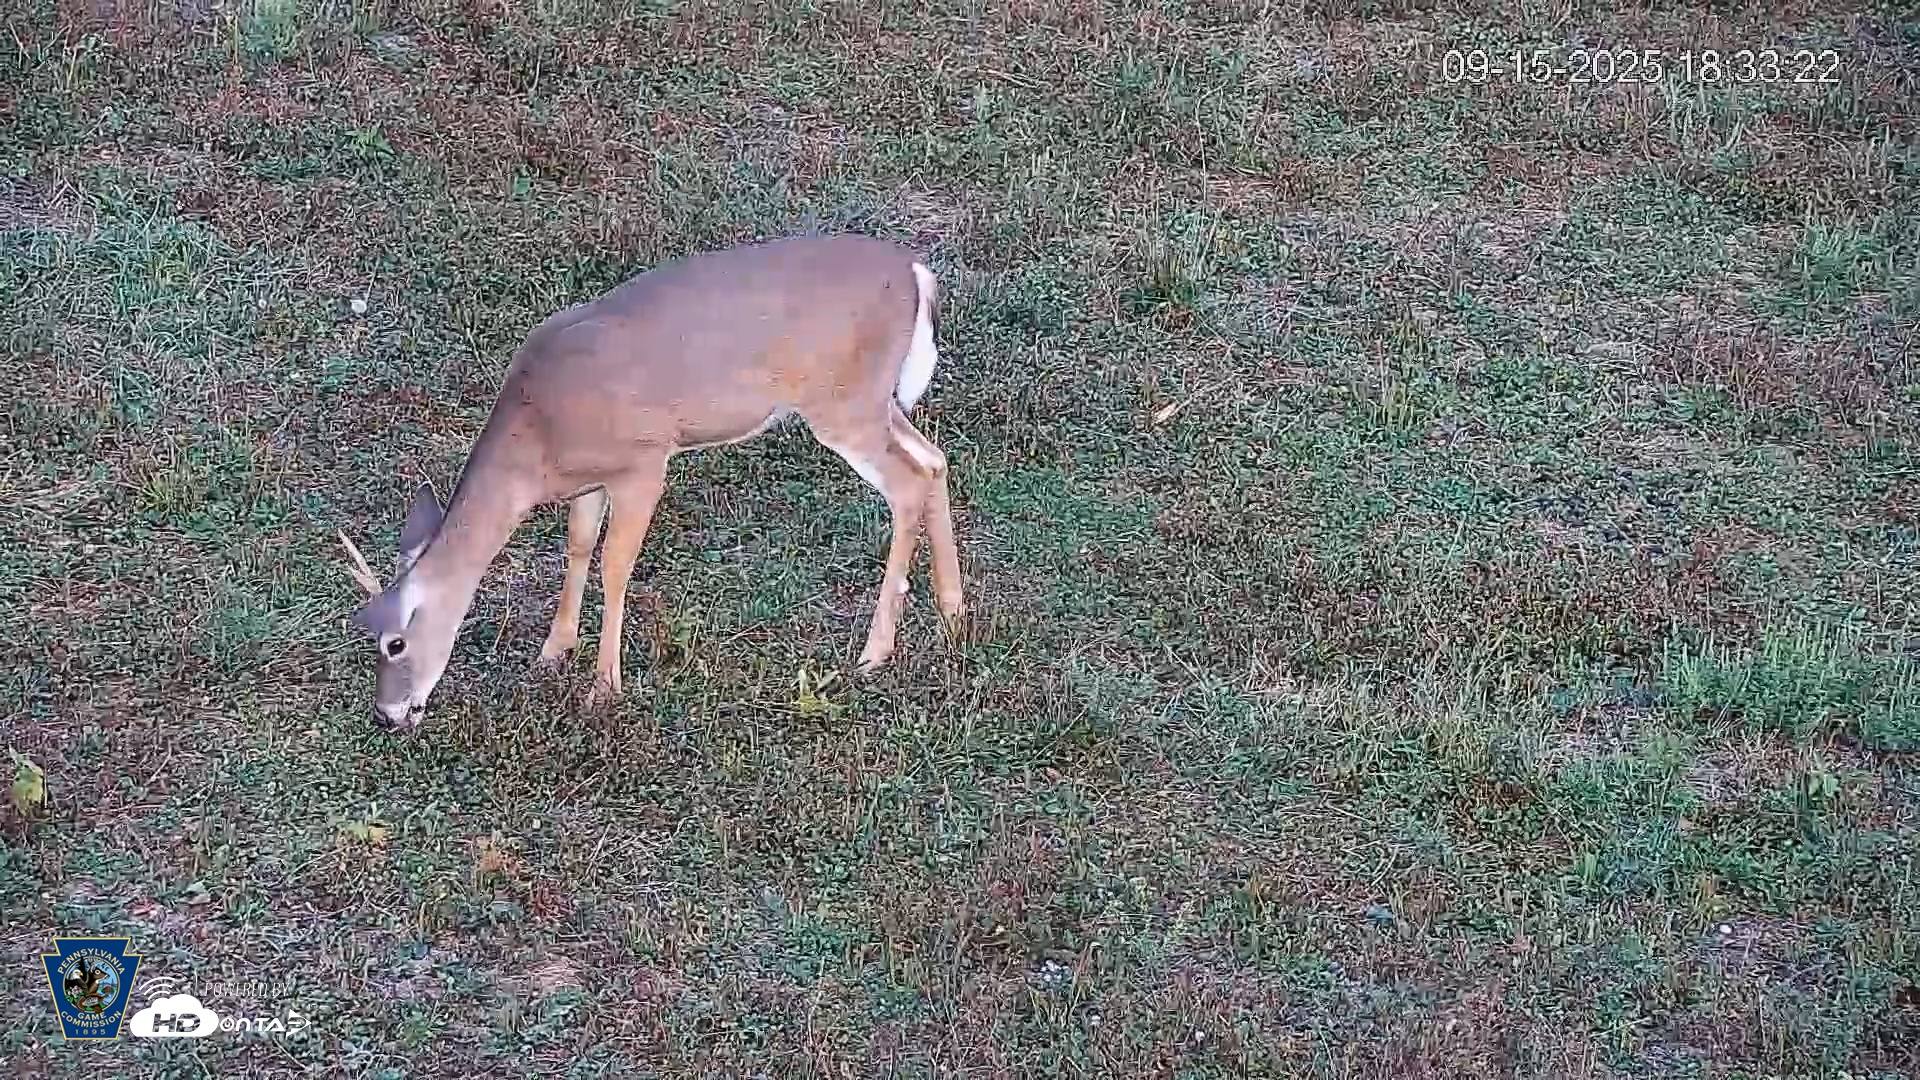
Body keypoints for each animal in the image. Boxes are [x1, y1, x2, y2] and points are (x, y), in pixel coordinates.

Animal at [334, 234, 965, 730]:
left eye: (394, 642)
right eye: (364, 632)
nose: (387, 714)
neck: (538, 435)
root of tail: (917, 273)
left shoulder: (643, 461)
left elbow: (614, 565)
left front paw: (603, 687)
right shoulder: (588, 480)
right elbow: (578, 547)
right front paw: (553, 650)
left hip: (843, 402)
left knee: (907, 483)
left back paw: (875, 651)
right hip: (875, 403)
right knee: (934, 460)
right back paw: (954, 610)